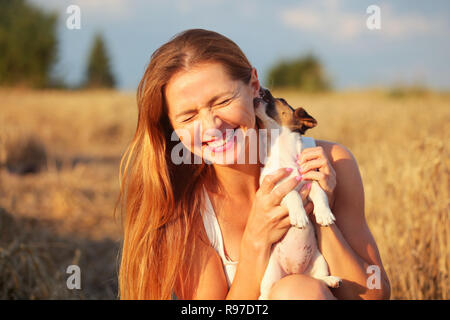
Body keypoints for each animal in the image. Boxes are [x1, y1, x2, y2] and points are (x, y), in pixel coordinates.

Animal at [253, 87, 342, 300]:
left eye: (282, 99)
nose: (263, 88)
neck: (284, 153)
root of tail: (293, 271)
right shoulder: (277, 189)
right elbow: (293, 195)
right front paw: (300, 216)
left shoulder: (311, 180)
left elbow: (320, 193)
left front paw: (324, 214)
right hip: (270, 273)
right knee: (266, 291)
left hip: (320, 261)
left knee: (318, 279)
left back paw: (331, 280)